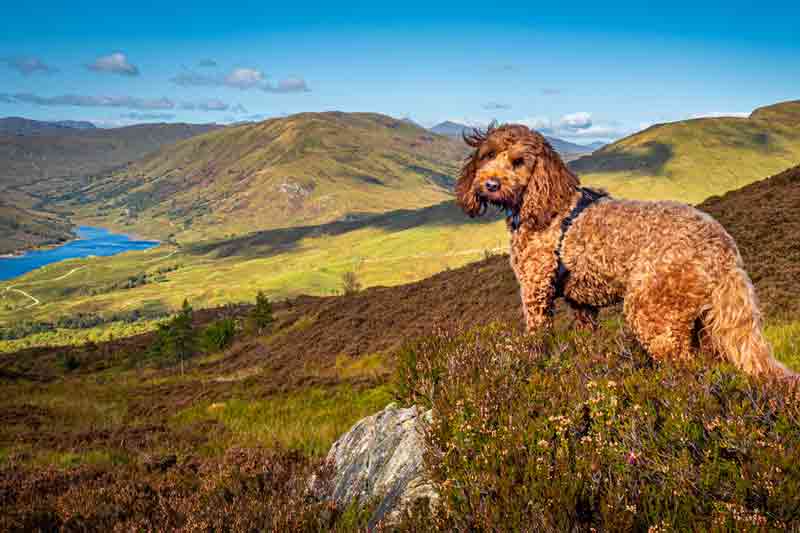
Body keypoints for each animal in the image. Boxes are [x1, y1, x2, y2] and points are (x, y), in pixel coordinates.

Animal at [460, 122, 792, 376]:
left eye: (519, 161)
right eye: (488, 155)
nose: (490, 184)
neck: (547, 202)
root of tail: (723, 247)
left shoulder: (536, 290)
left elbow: (537, 337)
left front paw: (532, 365)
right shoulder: (582, 304)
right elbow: (586, 339)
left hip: (653, 310)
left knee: (686, 368)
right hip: (704, 322)